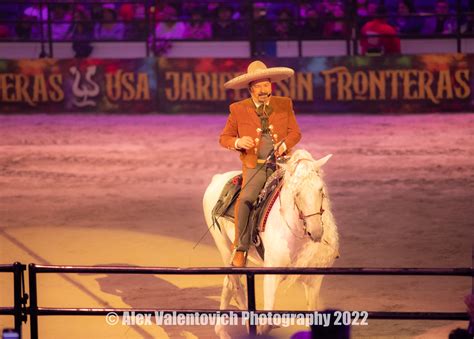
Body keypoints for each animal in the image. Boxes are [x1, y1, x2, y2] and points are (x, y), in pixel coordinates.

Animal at [202, 150, 338, 338]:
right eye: (297, 193)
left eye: (320, 189)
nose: (316, 231)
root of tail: (218, 178)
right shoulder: (270, 276)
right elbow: (267, 322)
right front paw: (259, 329)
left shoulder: (314, 281)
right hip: (223, 245)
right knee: (234, 284)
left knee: (228, 284)